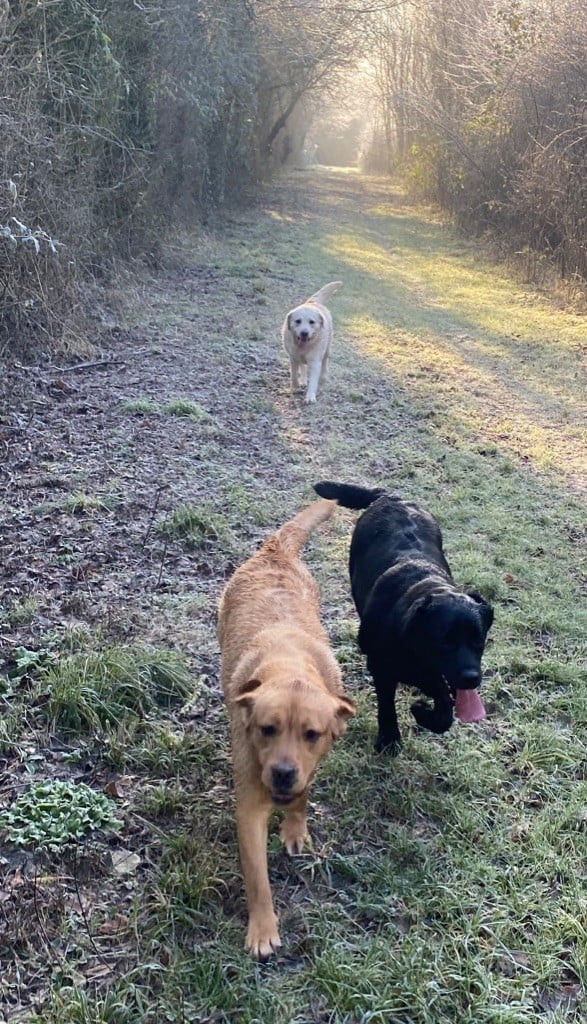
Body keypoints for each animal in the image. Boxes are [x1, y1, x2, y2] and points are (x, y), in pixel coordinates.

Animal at [215, 499, 352, 954]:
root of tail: (274, 550)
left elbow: (302, 796)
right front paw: (263, 928)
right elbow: (258, 879)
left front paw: (295, 825)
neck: (289, 662)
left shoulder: (312, 765)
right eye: (266, 729)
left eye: (312, 734)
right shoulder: (249, 807)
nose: (282, 772)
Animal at [313, 479, 491, 753]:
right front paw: (389, 738)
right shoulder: (381, 668)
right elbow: (387, 705)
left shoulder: (436, 679)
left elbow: (444, 711)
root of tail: (391, 497)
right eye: (445, 642)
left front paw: (423, 713)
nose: (471, 678)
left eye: (478, 640)